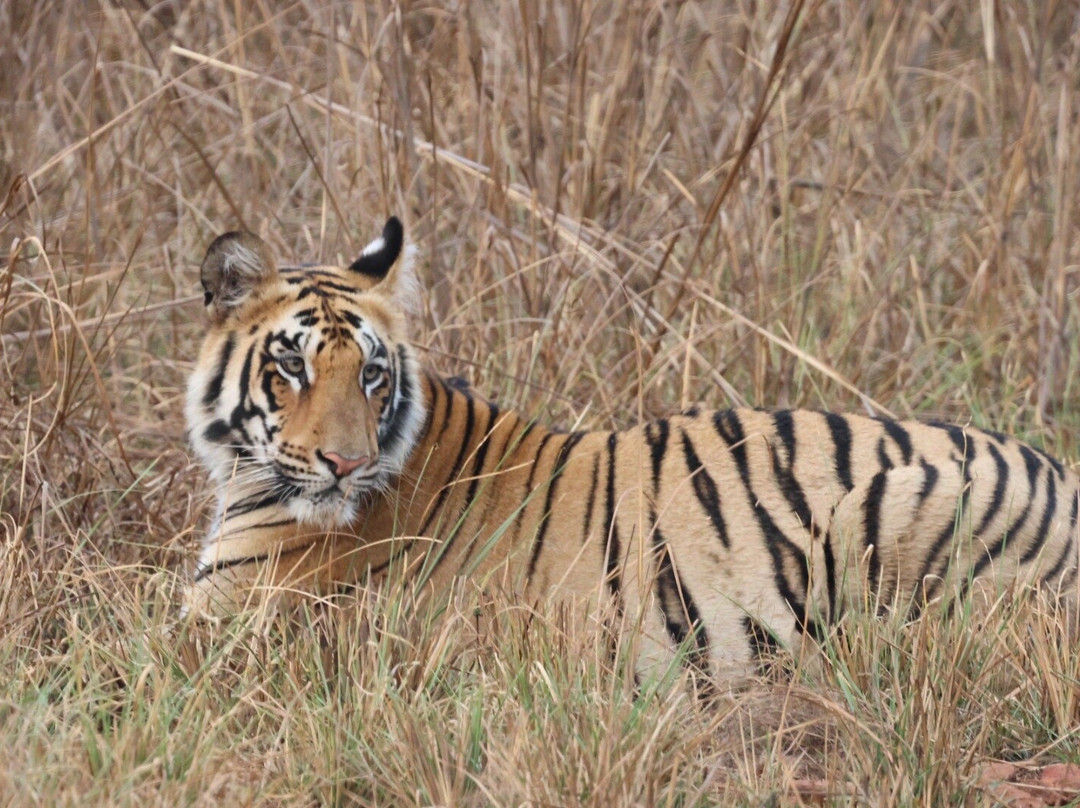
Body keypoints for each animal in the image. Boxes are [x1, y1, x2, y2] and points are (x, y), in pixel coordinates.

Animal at [184, 216, 1079, 681]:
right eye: (292, 365)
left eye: (370, 373)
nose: (345, 465)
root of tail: (1061, 471)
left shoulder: (225, 627)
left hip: (894, 509)